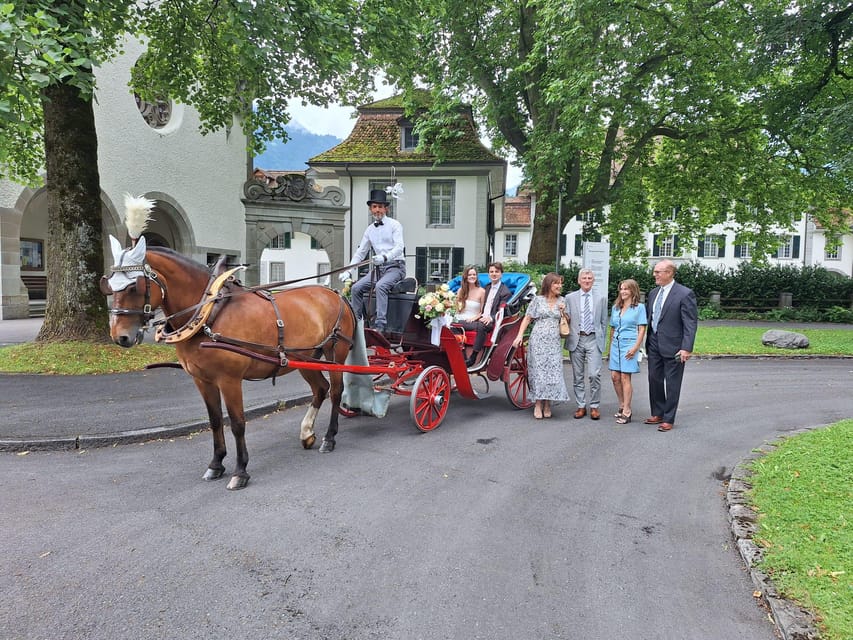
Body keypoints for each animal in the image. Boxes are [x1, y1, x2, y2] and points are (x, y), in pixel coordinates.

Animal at [103, 235, 356, 490]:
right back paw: (307, 432)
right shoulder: (202, 380)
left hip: (336, 353)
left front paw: (240, 471)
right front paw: (215, 464)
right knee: (320, 389)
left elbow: (237, 423)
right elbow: (215, 420)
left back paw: (329, 438)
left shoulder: (229, 380)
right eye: (109, 283)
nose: (119, 336)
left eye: (134, 286)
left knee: (335, 391)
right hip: (305, 358)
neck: (209, 313)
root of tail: (336, 294)